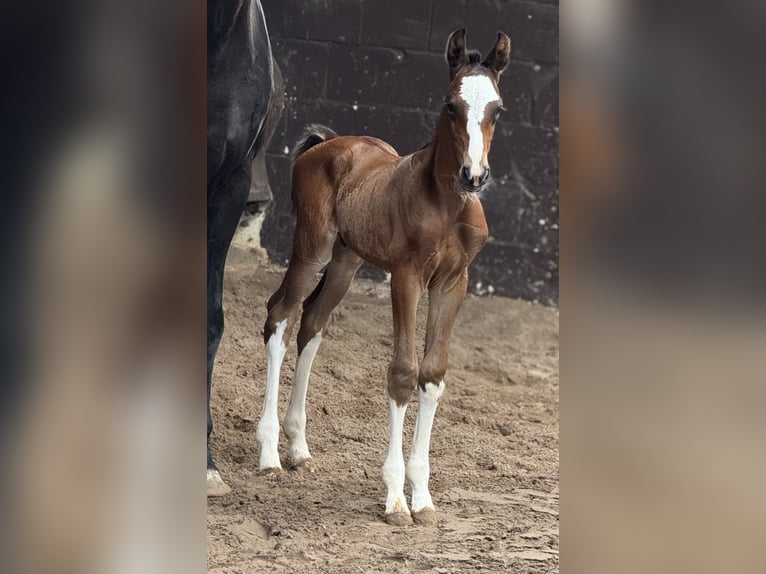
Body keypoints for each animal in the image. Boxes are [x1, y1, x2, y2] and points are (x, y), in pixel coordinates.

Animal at [260, 30, 516, 528]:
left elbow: (432, 375)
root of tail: (324, 143)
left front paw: (424, 498)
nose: (474, 175)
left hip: (346, 261)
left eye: (497, 109)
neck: (447, 204)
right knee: (280, 316)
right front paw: (397, 498)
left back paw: (298, 448)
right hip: (314, 248)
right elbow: (402, 373)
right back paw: (269, 453)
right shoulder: (406, 277)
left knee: (312, 325)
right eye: (450, 105)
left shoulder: (453, 283)